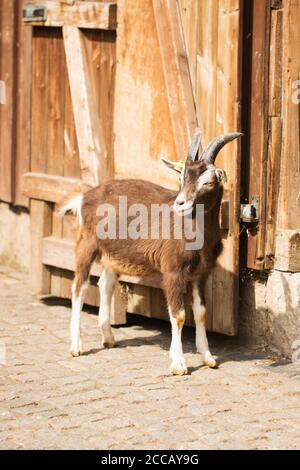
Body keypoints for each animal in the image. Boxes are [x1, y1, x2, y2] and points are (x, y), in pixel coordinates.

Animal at [60, 131, 241, 374]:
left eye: (208, 182)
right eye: (181, 179)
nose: (180, 203)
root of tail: (86, 196)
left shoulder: (200, 275)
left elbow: (201, 312)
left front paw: (208, 357)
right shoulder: (173, 271)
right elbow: (179, 315)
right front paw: (178, 364)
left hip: (113, 254)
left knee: (105, 284)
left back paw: (108, 338)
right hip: (86, 243)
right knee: (79, 288)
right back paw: (76, 346)